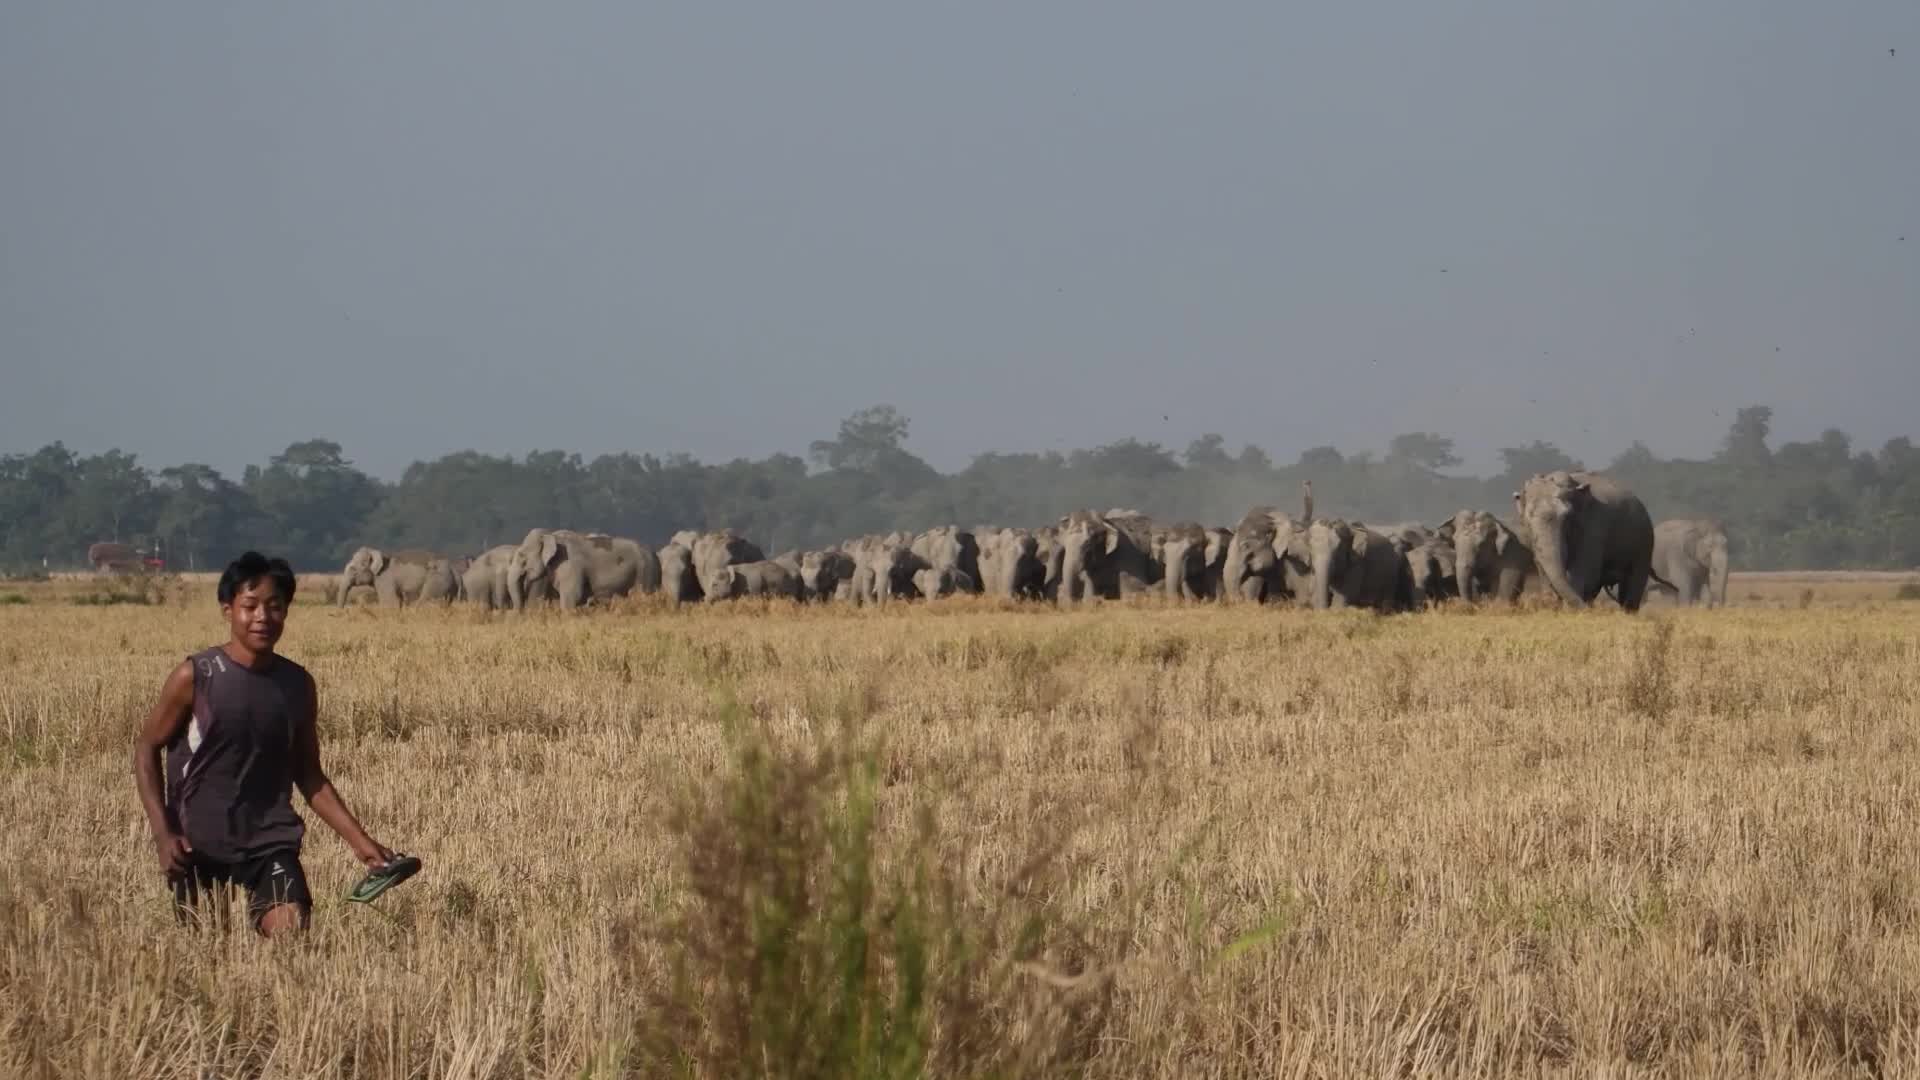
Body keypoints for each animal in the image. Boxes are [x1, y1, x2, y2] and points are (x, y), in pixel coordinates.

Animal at [507, 528, 661, 610]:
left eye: (522, 556)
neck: (552, 535)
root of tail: (655, 555)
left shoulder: (569, 565)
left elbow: (572, 597)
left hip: (645, 572)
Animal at [1512, 470, 1656, 612]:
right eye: (1527, 522)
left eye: (1567, 518)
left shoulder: (1593, 528)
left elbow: (1585, 572)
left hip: (1644, 544)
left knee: (1633, 584)